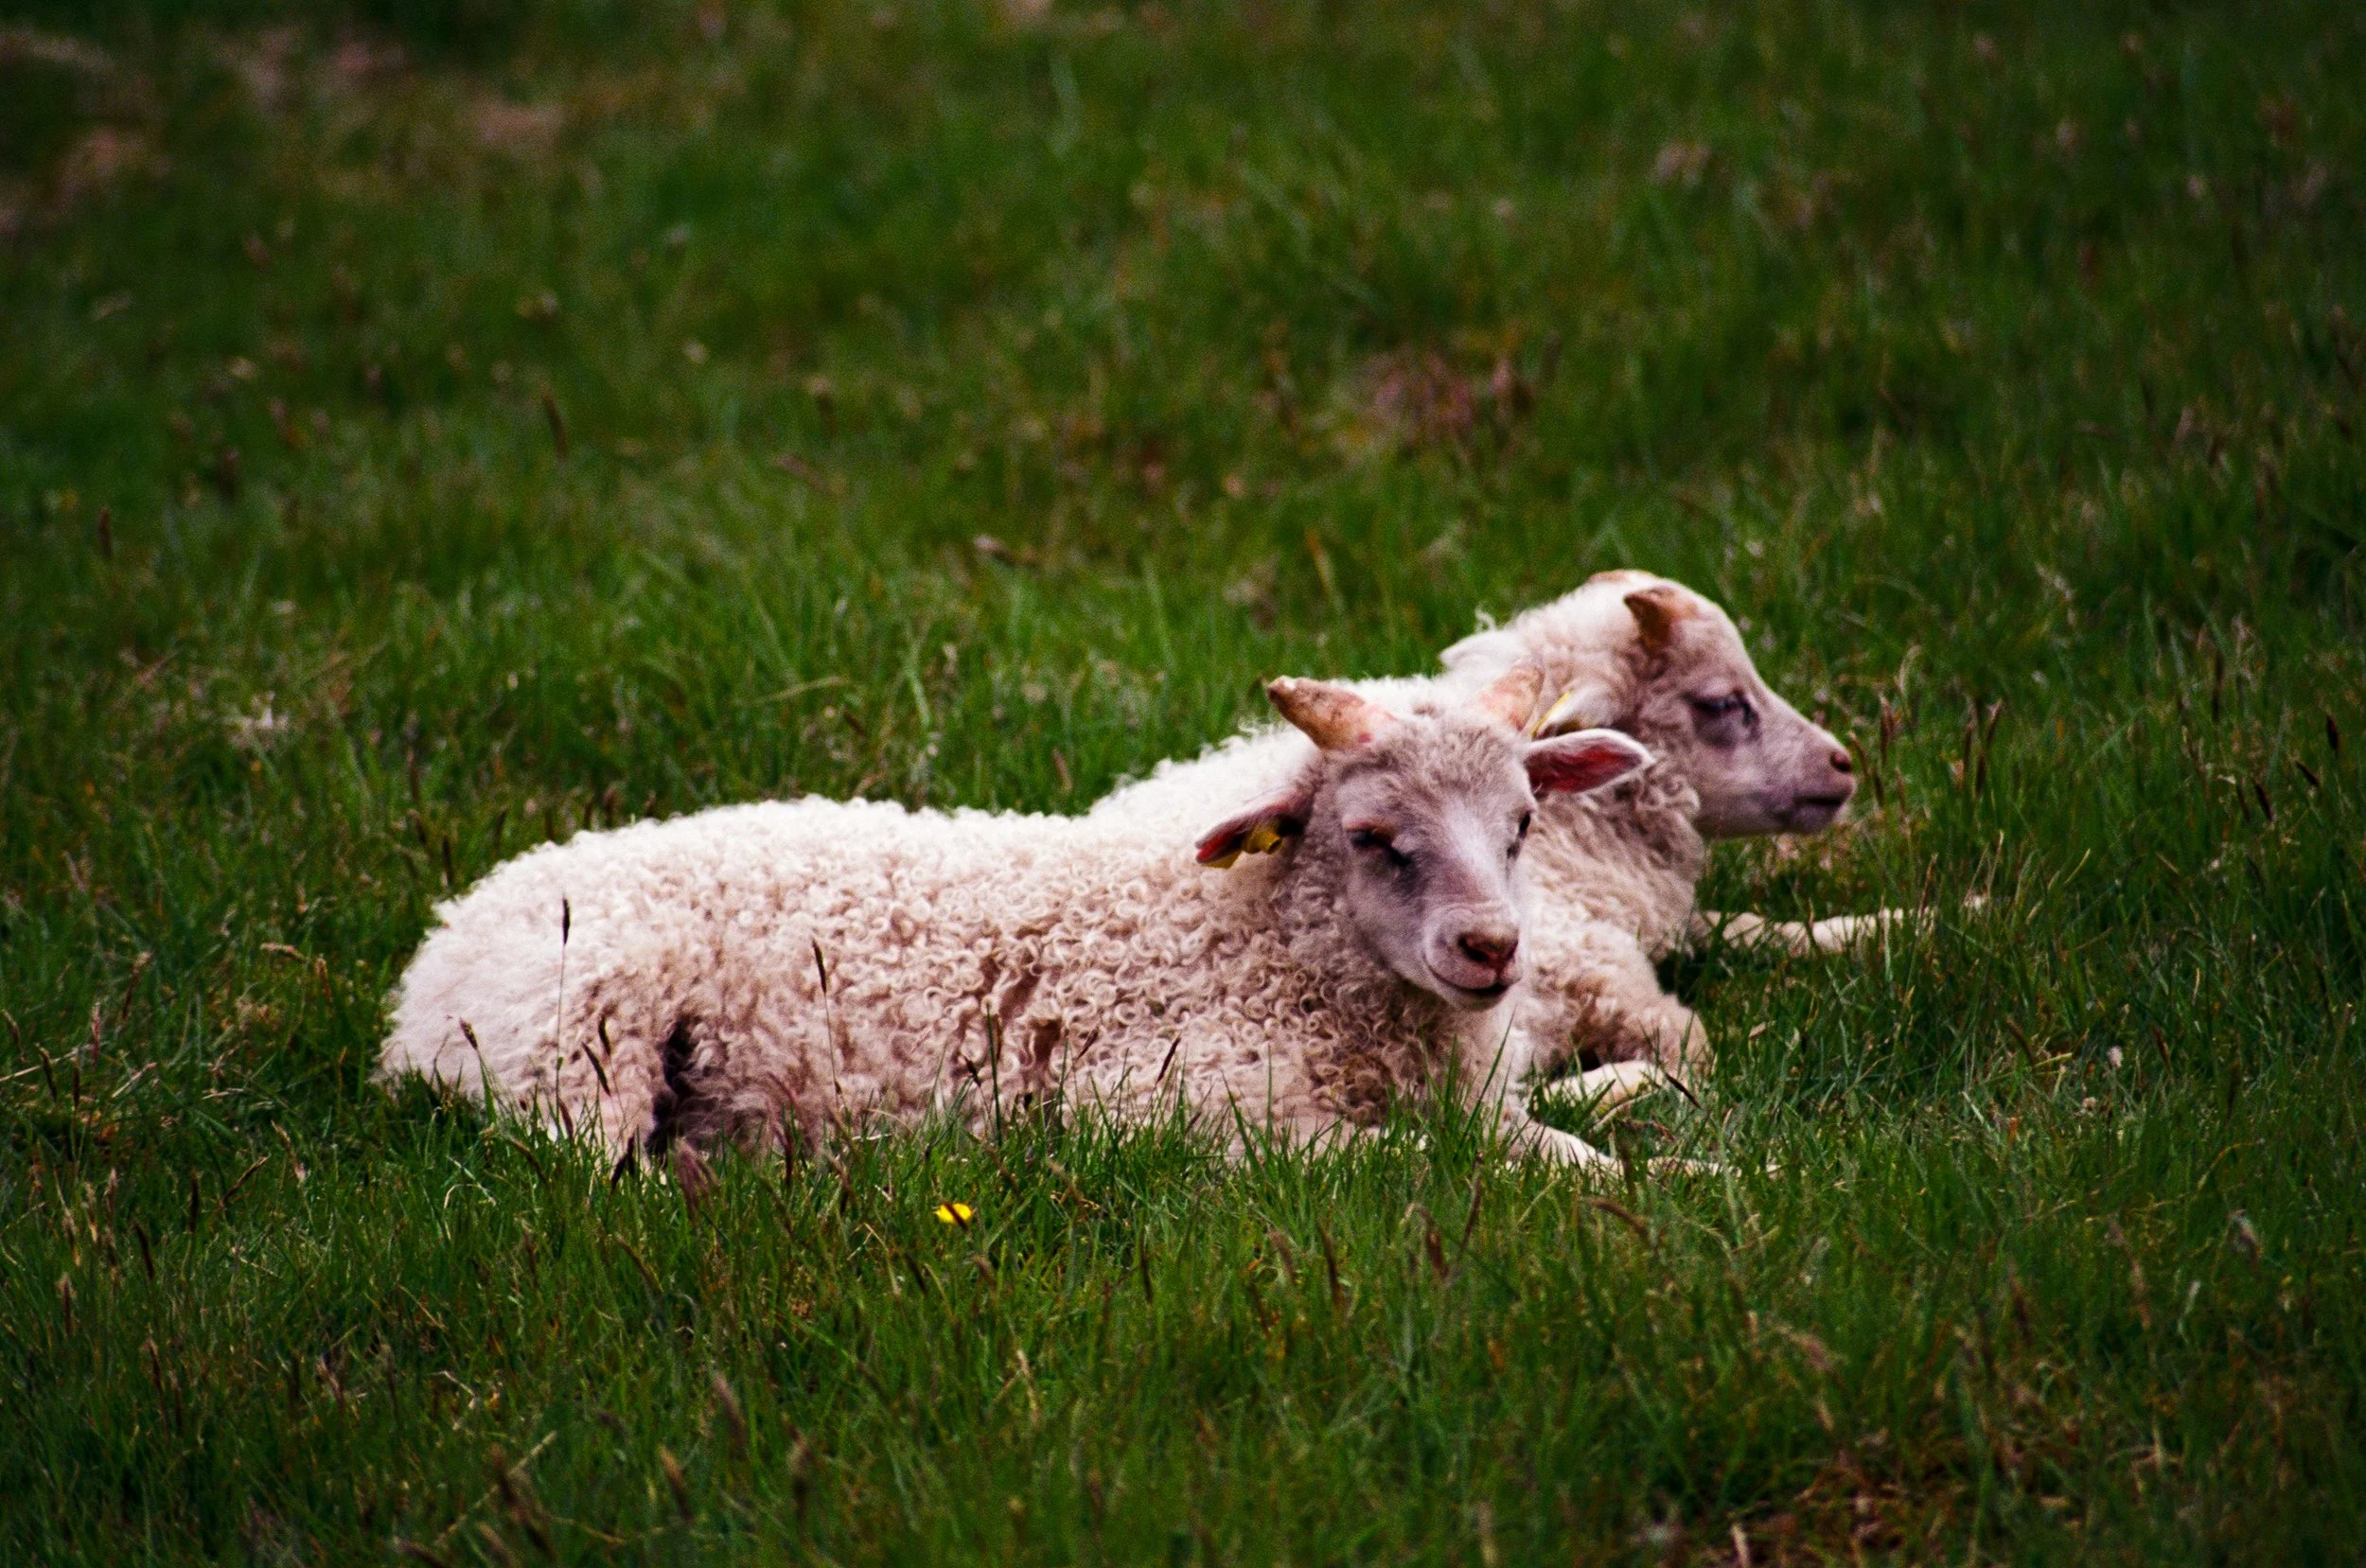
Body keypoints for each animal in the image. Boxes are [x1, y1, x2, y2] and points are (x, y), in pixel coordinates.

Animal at [378, 667, 1656, 1166]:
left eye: (1523, 823)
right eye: (1372, 836)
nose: (1491, 949)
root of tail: (436, 953)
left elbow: (1563, 1135)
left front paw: (1667, 1156)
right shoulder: (1172, 1108)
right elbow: (1435, 1167)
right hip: (576, 1051)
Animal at [1098, 570, 1882, 1088]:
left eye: (1523, 817)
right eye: (1720, 701)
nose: (1844, 764)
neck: (1583, 840)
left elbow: (1766, 928)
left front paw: (1899, 923)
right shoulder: (1595, 967)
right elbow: (1691, 1046)